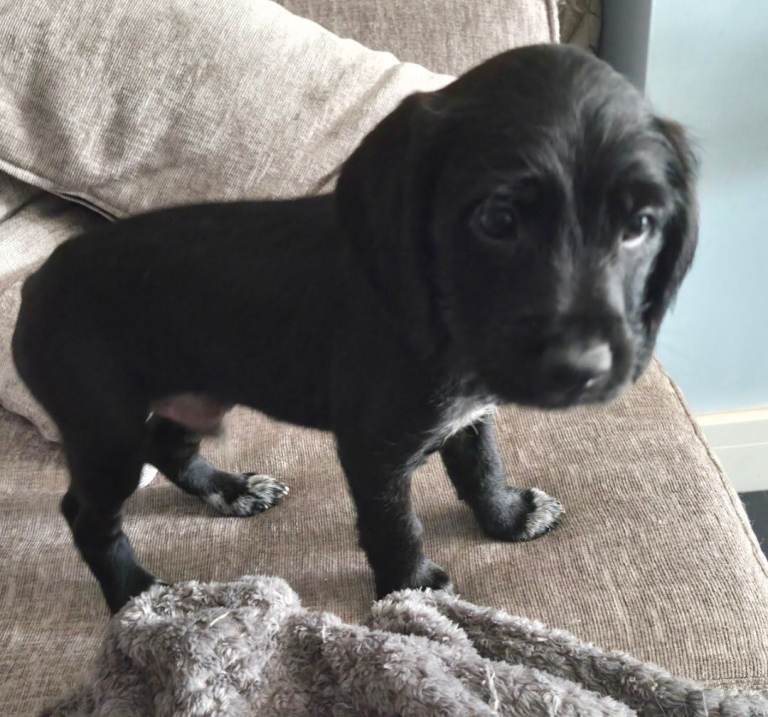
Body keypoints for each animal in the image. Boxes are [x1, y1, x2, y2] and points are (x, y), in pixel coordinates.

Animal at [12, 44, 697, 613]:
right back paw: (132, 590)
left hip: (198, 388)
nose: (582, 372)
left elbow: (481, 467)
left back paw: (227, 491)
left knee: (167, 445)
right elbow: (395, 525)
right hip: (105, 429)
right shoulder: (374, 449)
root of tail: (36, 283)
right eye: (498, 219)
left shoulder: (469, 412)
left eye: (639, 224)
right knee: (86, 514)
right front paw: (412, 590)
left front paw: (506, 517)